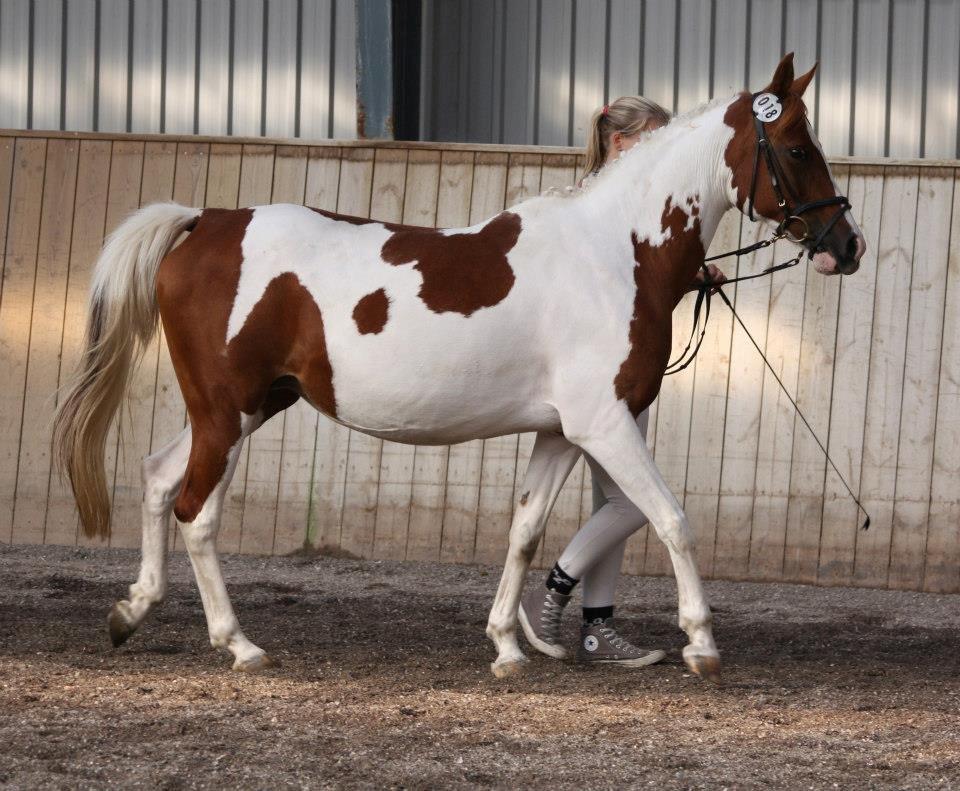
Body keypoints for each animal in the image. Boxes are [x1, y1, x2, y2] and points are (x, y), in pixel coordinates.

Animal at [52, 54, 864, 680]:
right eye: (797, 148)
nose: (846, 244)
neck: (614, 250)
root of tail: (205, 222)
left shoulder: (561, 432)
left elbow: (526, 530)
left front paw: (508, 646)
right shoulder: (603, 425)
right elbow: (671, 520)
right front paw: (701, 644)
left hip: (244, 407)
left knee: (159, 478)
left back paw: (132, 612)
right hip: (228, 411)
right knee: (196, 510)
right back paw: (241, 646)